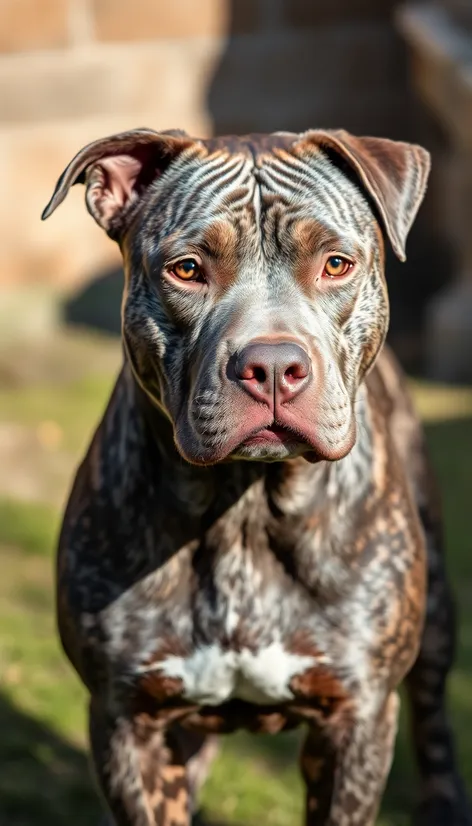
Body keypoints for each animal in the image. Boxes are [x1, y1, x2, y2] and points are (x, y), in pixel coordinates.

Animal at [42, 129, 470, 824]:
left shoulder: (355, 722)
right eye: (187, 268)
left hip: (434, 619)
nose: (271, 365)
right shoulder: (126, 721)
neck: (243, 507)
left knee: (434, 721)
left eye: (335, 264)